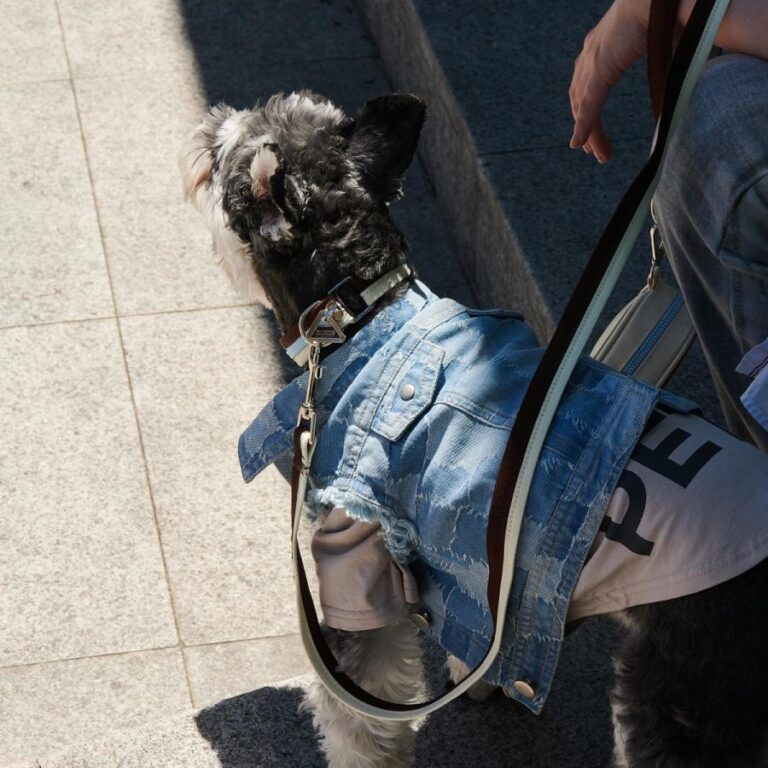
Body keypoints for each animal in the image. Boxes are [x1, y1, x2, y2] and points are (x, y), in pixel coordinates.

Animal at [182, 91, 768, 768]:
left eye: (222, 153)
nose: (208, 122)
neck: (361, 316)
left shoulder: (354, 545)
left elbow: (359, 708)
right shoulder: (484, 572)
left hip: (684, 699)